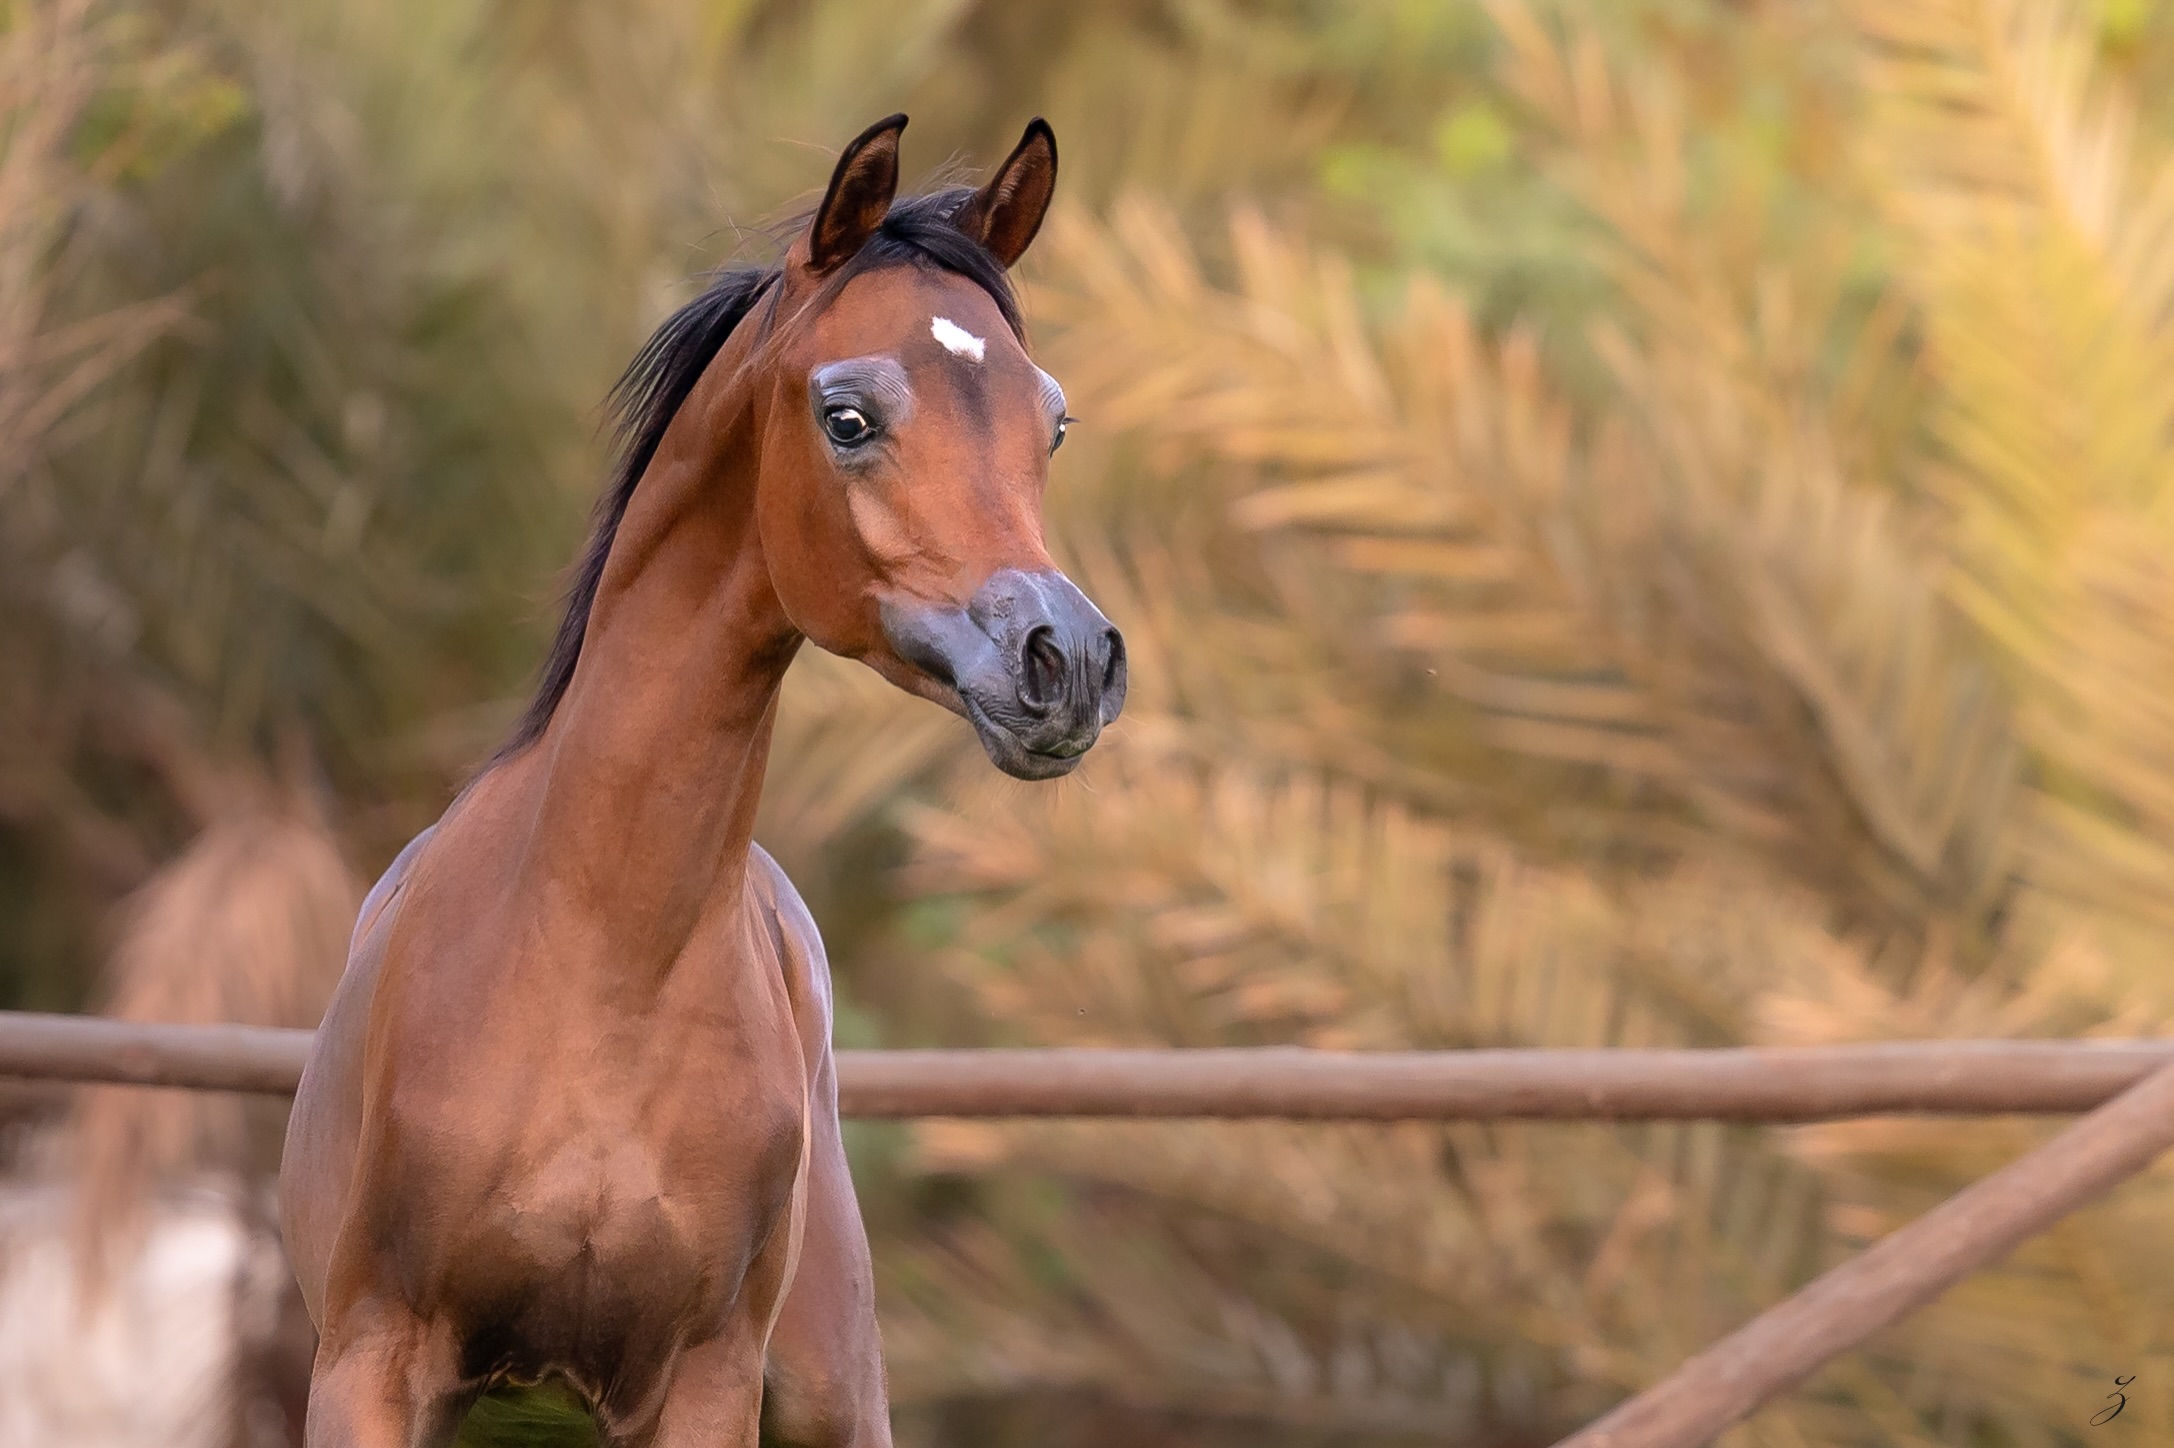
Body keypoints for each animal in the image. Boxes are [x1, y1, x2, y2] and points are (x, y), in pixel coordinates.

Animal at [278, 114, 1125, 1448]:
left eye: (1050, 423)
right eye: (846, 416)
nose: (1069, 659)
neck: (593, 960)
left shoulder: (703, 1381)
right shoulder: (369, 1361)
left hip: (832, 1394)